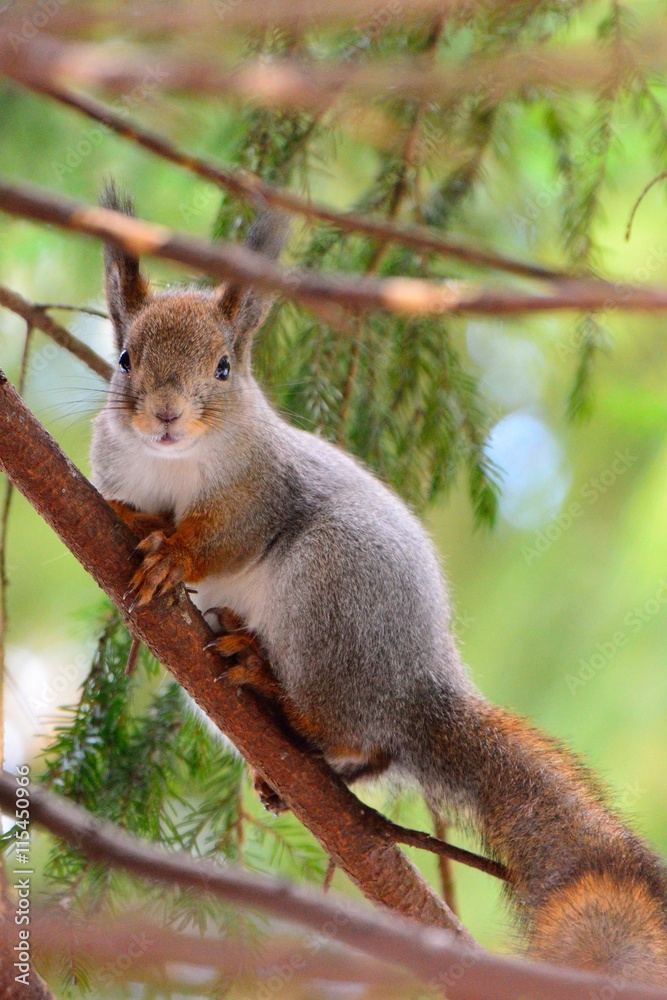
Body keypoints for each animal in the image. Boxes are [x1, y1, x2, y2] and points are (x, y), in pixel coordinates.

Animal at [91, 181, 667, 984]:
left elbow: (223, 538)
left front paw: (174, 555)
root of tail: (419, 690)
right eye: (123, 359)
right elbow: (124, 503)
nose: (167, 416)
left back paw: (270, 683)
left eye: (223, 367)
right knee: (374, 752)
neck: (172, 464)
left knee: (349, 726)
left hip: (331, 587)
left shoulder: (262, 487)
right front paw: (130, 520)